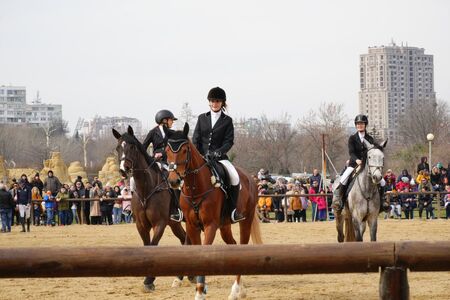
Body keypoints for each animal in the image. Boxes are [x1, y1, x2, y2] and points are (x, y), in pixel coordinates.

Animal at [113, 126, 191, 290]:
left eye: (132, 147)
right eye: (118, 148)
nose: (124, 169)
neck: (146, 188)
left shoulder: (159, 223)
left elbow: (153, 246)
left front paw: (149, 279)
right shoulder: (141, 225)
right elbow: (147, 246)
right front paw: (148, 279)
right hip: (174, 223)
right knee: (184, 239)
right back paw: (182, 277)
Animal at [166, 122, 264, 300]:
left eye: (184, 150)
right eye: (166, 151)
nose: (174, 181)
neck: (195, 188)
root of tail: (250, 178)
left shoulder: (210, 226)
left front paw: (200, 293)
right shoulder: (192, 227)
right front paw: (199, 290)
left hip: (245, 221)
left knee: (242, 245)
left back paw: (236, 290)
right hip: (224, 227)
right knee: (233, 245)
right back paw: (241, 288)